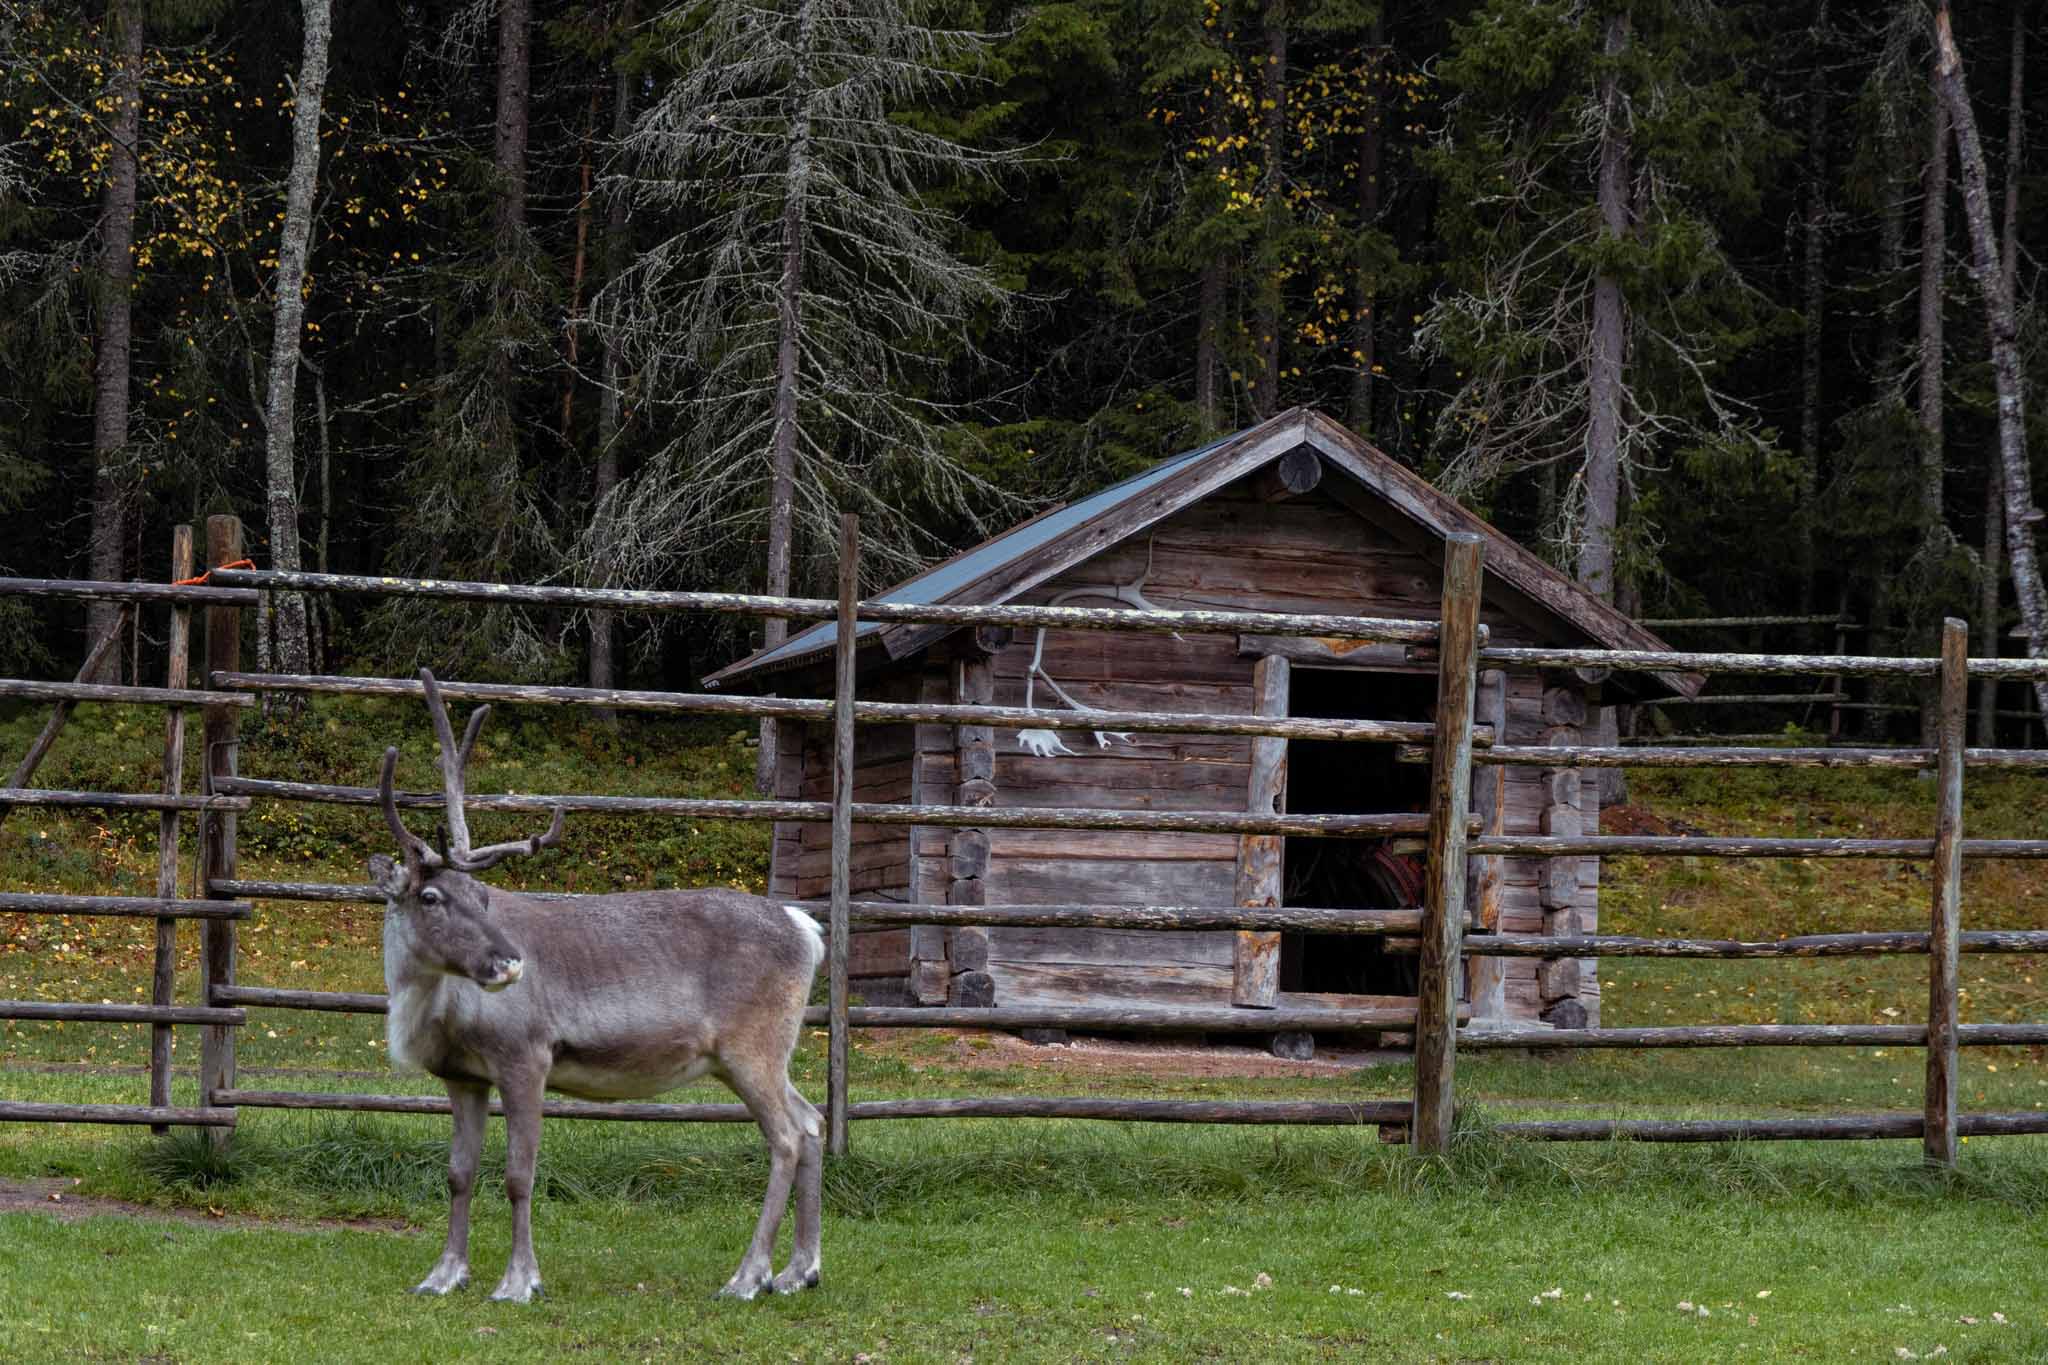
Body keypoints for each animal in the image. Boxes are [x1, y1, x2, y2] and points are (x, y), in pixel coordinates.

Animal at [368, 669, 825, 1304]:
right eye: (431, 896)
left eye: (482, 896)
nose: (511, 964)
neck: (432, 1012)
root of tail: (808, 929)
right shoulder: (463, 1077)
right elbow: (459, 1174)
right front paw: (443, 1274)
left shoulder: (526, 1056)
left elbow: (517, 1175)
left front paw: (519, 1281)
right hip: (766, 1055)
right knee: (813, 1122)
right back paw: (799, 1270)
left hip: (752, 1048)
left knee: (785, 1137)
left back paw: (747, 1276)